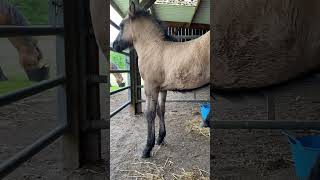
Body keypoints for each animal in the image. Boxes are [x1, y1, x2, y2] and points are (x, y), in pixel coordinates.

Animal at [112, 2, 210, 158]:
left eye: (121, 25)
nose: (114, 45)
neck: (153, 47)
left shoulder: (150, 88)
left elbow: (150, 114)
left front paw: (147, 148)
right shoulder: (162, 89)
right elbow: (160, 110)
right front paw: (160, 138)